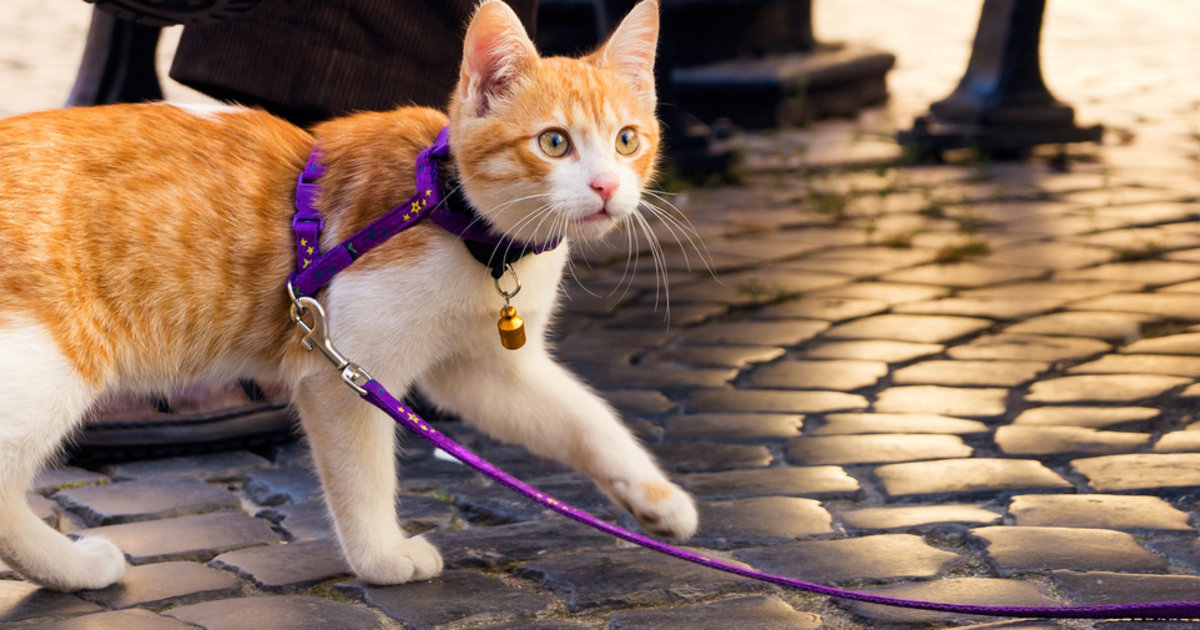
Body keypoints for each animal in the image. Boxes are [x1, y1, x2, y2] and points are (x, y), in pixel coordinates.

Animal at [0, 0, 700, 590]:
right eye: (554, 142)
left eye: (628, 140)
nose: (607, 187)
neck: (464, 221)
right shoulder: (344, 368)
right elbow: (363, 475)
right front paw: (381, 556)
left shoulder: (482, 369)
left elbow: (583, 417)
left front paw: (656, 500)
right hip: (47, 363)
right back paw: (72, 567)